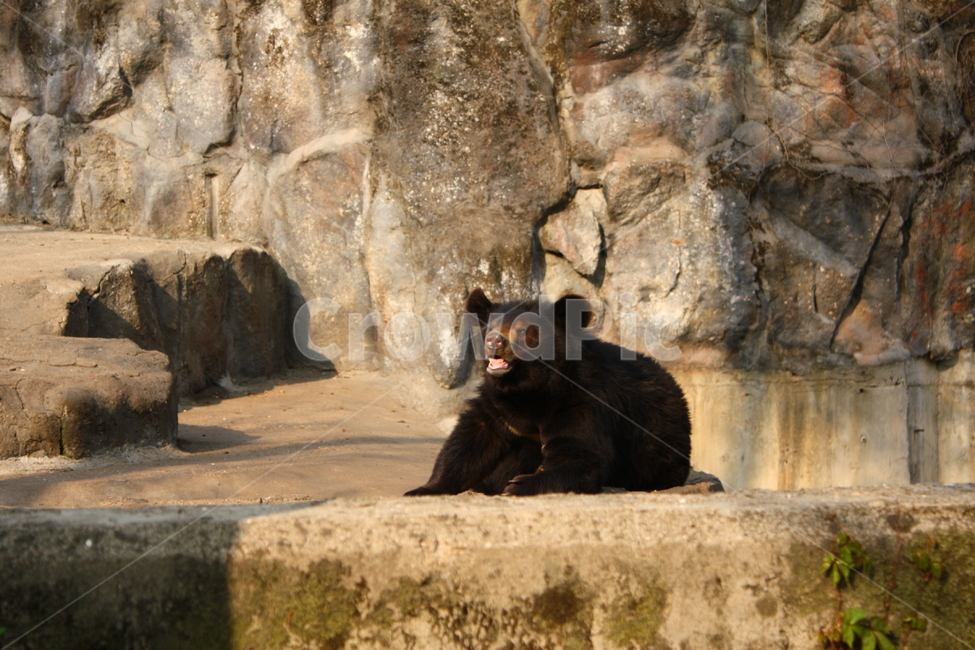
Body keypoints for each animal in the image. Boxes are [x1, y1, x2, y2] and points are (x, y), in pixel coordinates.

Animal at [405, 288, 691, 496]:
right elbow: (469, 442)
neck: (530, 389)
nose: (494, 342)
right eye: (490, 327)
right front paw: (423, 489)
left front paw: (520, 484)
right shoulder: (498, 405)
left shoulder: (579, 400)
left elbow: (582, 453)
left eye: (523, 330)